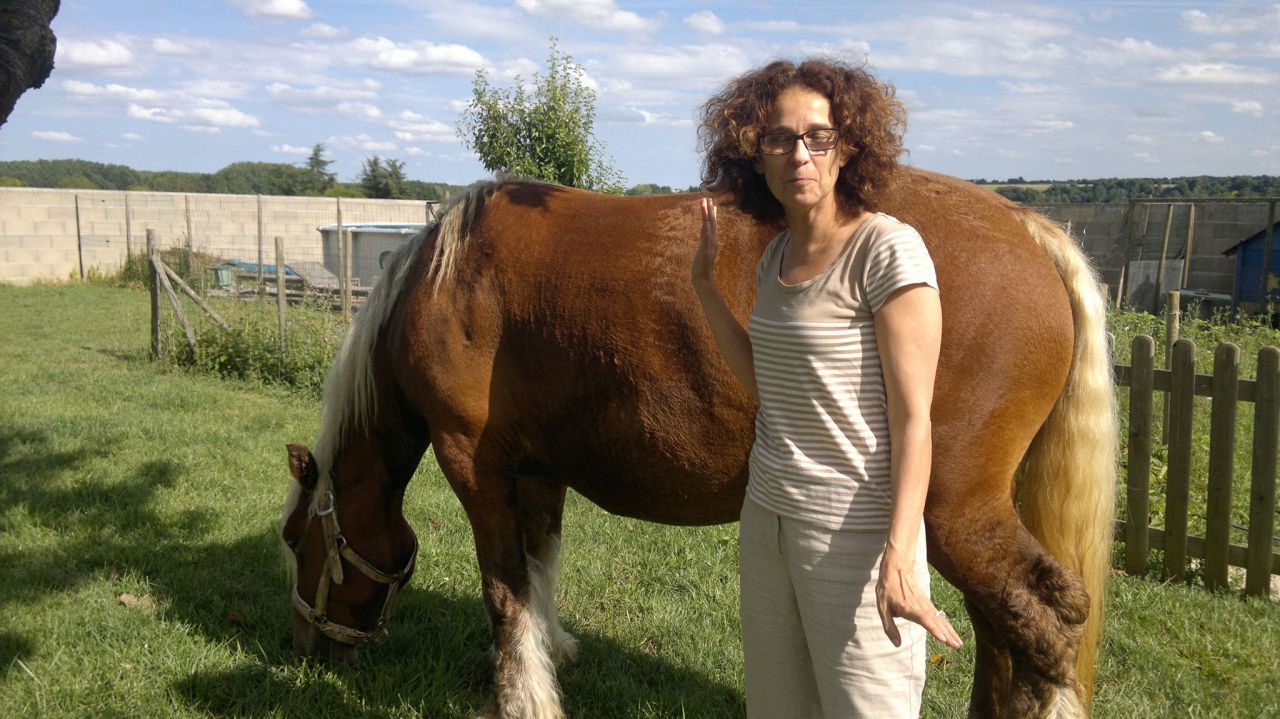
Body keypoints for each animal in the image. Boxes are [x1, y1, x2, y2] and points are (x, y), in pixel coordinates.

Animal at [280, 167, 1116, 719]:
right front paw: (552, 655)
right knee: (1006, 629)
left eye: (295, 539)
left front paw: (520, 695)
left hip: (949, 512)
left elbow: (504, 588)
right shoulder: (539, 469)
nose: (304, 647)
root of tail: (1031, 231)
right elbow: (540, 567)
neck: (446, 279)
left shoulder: (474, 462)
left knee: (1044, 622)